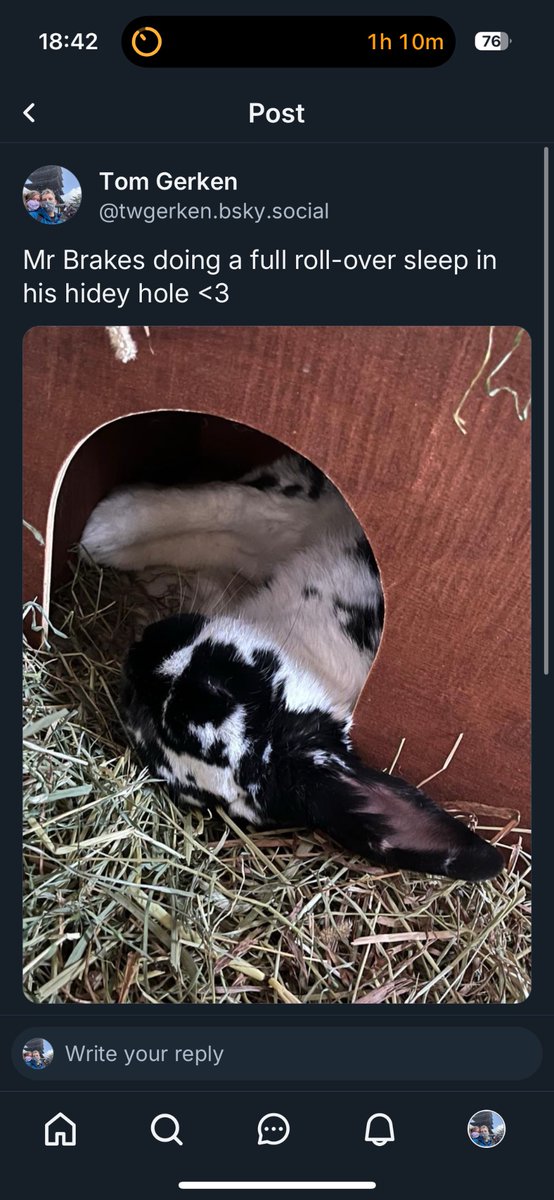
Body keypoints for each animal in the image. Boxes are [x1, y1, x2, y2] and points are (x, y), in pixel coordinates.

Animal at [81, 452, 503, 882]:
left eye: (212, 689)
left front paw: (106, 522)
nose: (138, 652)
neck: (311, 653)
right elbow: (226, 511)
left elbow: (236, 510)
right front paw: (107, 532)